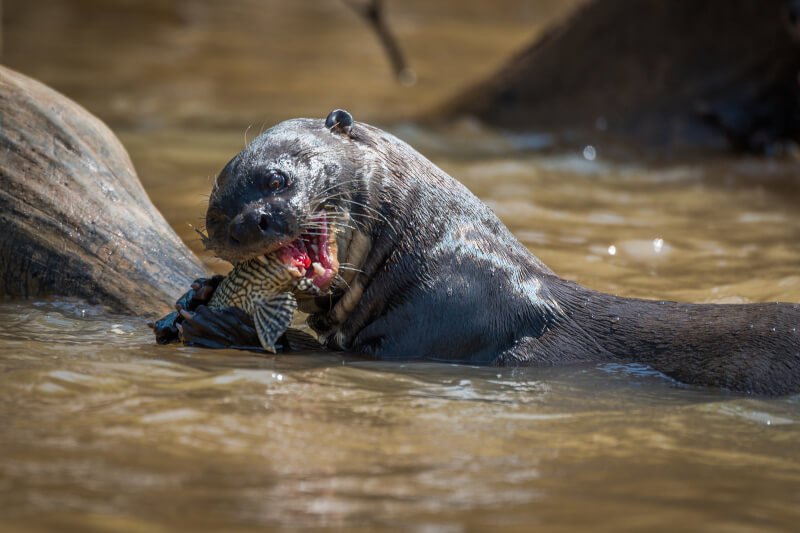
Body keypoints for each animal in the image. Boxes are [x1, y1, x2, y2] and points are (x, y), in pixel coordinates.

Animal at [177, 110, 800, 394]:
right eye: (214, 219)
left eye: (275, 179)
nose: (246, 224)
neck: (427, 251)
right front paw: (200, 294)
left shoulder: (443, 321)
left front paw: (218, 323)